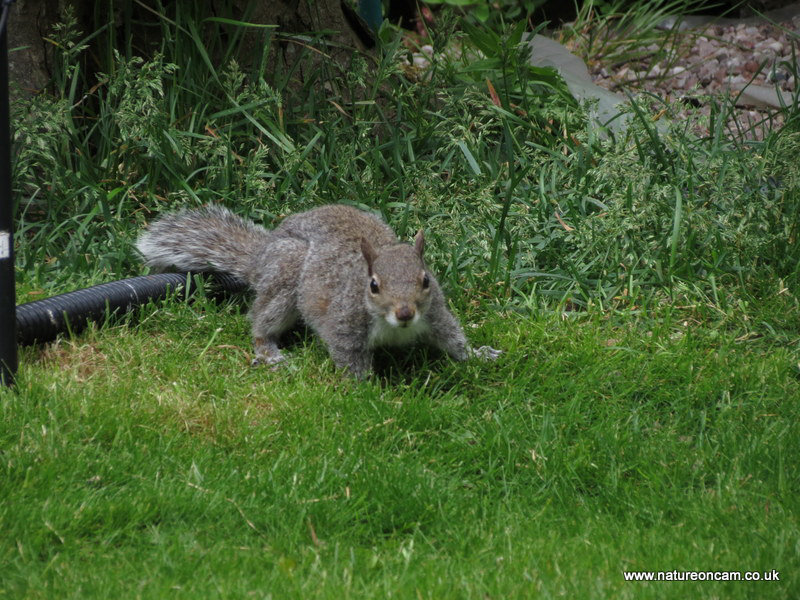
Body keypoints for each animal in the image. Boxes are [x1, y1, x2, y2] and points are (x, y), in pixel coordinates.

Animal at [138, 204, 500, 378]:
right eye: (373, 285)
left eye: (426, 280)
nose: (405, 312)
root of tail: (262, 255)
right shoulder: (345, 325)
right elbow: (350, 359)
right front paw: (369, 392)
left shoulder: (436, 314)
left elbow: (453, 340)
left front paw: (479, 354)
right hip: (285, 278)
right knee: (261, 320)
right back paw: (269, 352)